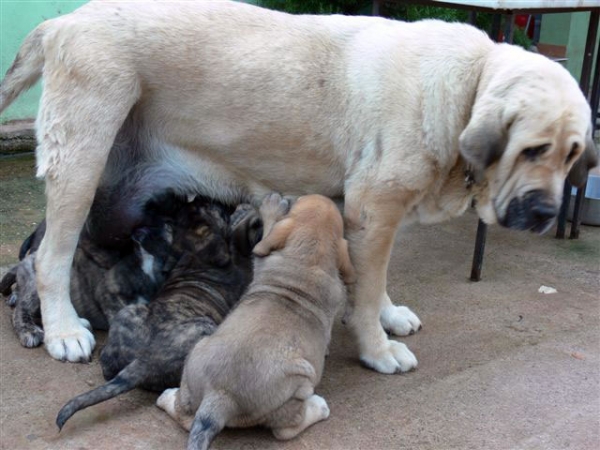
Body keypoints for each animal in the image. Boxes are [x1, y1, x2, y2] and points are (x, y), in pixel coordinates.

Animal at [2, 0, 596, 372]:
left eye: (572, 152)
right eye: (532, 149)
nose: (546, 214)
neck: (469, 87)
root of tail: (64, 22)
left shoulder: (374, 217)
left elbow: (376, 278)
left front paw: (388, 314)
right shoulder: (374, 209)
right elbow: (366, 289)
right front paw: (377, 348)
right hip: (82, 162)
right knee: (51, 257)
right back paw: (62, 331)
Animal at [56, 202, 262, 430]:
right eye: (218, 212)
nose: (226, 204)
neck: (195, 256)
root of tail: (146, 359)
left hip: (128, 312)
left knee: (108, 367)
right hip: (206, 330)